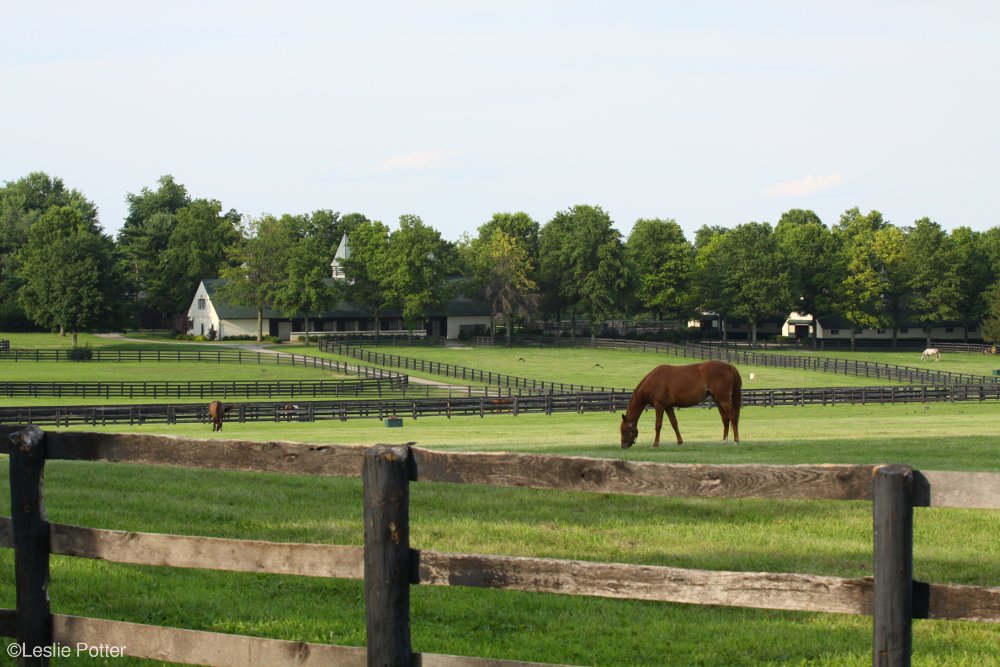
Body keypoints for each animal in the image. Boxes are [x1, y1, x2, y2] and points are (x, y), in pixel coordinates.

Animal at [616, 360, 744, 448]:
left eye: (624, 431)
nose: (623, 446)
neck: (653, 381)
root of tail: (729, 366)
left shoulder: (659, 406)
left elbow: (658, 425)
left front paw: (655, 444)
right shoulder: (668, 407)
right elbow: (674, 423)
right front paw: (680, 442)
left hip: (723, 399)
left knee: (732, 415)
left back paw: (737, 441)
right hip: (718, 400)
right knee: (725, 419)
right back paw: (724, 441)